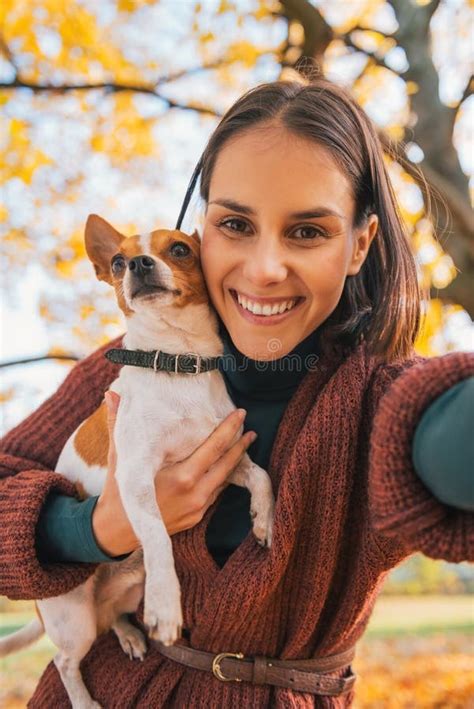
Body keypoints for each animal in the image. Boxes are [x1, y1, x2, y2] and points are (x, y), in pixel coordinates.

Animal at [0, 216, 276, 708]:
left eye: (180, 249)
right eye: (116, 261)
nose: (138, 264)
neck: (178, 361)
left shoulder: (227, 458)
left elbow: (261, 476)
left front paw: (264, 521)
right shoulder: (136, 479)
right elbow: (159, 538)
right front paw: (167, 606)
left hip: (125, 592)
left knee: (112, 616)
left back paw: (128, 634)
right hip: (74, 621)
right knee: (64, 660)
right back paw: (85, 700)